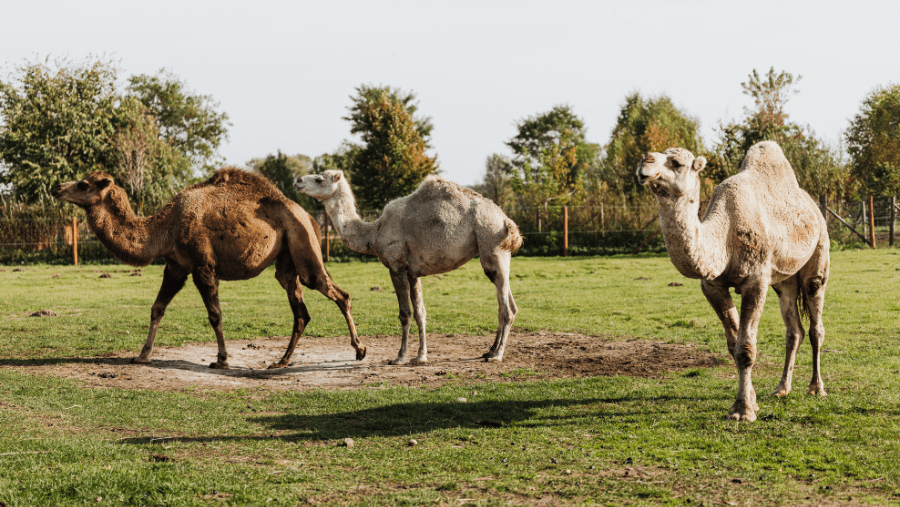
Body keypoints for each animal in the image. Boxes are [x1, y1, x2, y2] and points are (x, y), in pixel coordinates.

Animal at [51, 170, 366, 370]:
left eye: (83, 184)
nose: (56, 187)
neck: (166, 227)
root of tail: (310, 218)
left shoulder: (203, 265)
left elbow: (214, 314)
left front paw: (222, 360)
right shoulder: (176, 266)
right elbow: (157, 308)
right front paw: (142, 356)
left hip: (304, 247)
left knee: (337, 292)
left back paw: (360, 350)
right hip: (286, 261)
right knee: (301, 311)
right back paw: (281, 361)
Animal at [298, 171, 520, 366]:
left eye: (319, 179)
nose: (298, 180)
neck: (374, 234)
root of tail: (506, 220)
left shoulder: (397, 266)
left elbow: (405, 313)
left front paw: (399, 357)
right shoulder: (413, 272)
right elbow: (421, 313)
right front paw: (421, 356)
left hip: (491, 242)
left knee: (507, 307)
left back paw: (497, 355)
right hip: (499, 252)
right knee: (506, 303)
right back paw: (490, 350)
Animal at [632, 141, 828, 422]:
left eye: (677, 163)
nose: (645, 162)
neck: (724, 236)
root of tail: (813, 206)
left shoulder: (756, 281)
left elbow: (745, 348)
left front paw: (742, 411)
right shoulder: (712, 286)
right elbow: (732, 344)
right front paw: (753, 401)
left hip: (819, 255)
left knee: (815, 325)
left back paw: (816, 388)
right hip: (784, 281)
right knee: (794, 330)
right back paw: (781, 389)